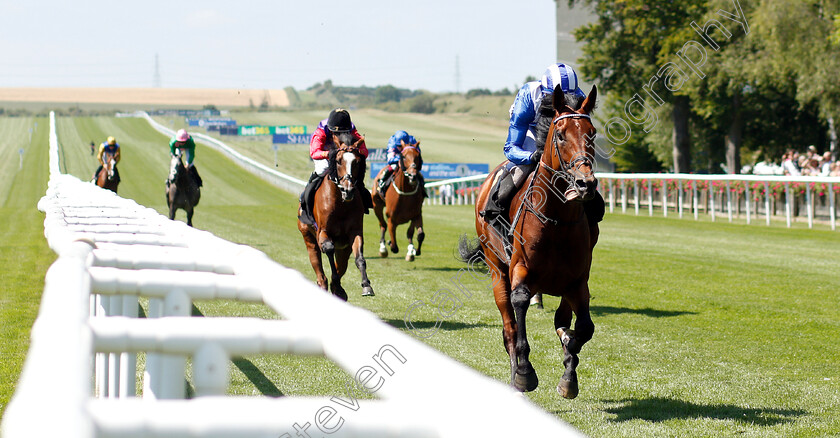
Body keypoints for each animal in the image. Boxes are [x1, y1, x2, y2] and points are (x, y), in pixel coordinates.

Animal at [296, 138, 372, 302]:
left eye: (357, 161)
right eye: (338, 161)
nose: (348, 190)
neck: (341, 204)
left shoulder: (354, 232)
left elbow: (360, 258)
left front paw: (366, 285)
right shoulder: (322, 232)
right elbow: (329, 249)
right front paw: (336, 283)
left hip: (343, 248)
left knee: (341, 264)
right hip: (308, 237)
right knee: (319, 268)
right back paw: (324, 285)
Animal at [456, 84, 600, 398]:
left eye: (592, 132)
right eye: (560, 134)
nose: (585, 183)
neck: (556, 221)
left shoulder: (577, 281)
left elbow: (582, 328)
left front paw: (568, 372)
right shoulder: (520, 269)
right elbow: (520, 302)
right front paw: (525, 372)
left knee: (562, 320)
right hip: (496, 268)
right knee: (509, 327)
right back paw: (516, 372)